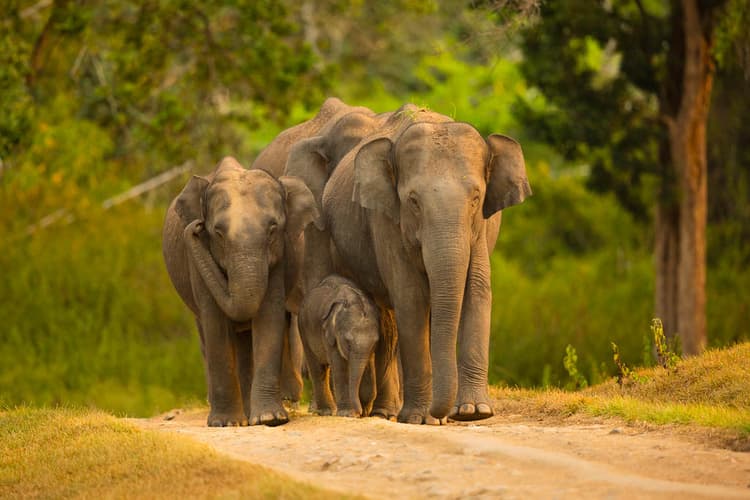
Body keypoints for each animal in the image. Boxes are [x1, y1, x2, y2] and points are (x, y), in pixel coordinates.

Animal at [162, 157, 321, 426]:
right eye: (217, 232)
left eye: (273, 229)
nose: (196, 226)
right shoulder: (197, 262)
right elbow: (215, 323)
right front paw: (225, 423)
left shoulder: (279, 258)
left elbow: (269, 318)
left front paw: (270, 419)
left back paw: (249, 414)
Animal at [298, 275, 394, 417]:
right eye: (347, 342)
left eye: (375, 342)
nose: (359, 412)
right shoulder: (330, 336)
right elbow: (340, 368)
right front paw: (347, 413)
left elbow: (368, 367)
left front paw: (364, 412)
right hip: (303, 329)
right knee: (318, 369)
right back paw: (326, 411)